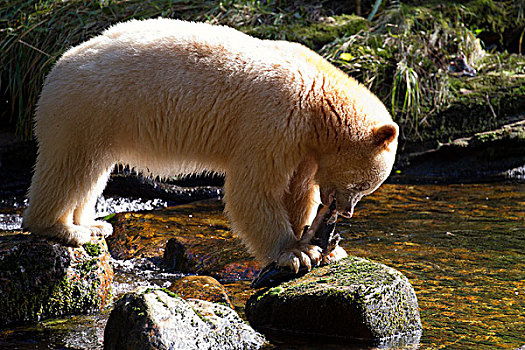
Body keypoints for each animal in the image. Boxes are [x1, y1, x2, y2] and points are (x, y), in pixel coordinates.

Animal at [22, 17, 396, 272]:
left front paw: (326, 247)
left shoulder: (302, 144)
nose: (346, 212)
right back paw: (63, 229)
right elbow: (255, 189)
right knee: (70, 167)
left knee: (93, 172)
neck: (319, 96)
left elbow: (298, 189)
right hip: (87, 108)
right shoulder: (274, 118)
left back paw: (93, 224)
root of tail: (57, 66)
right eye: (363, 186)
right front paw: (296, 252)